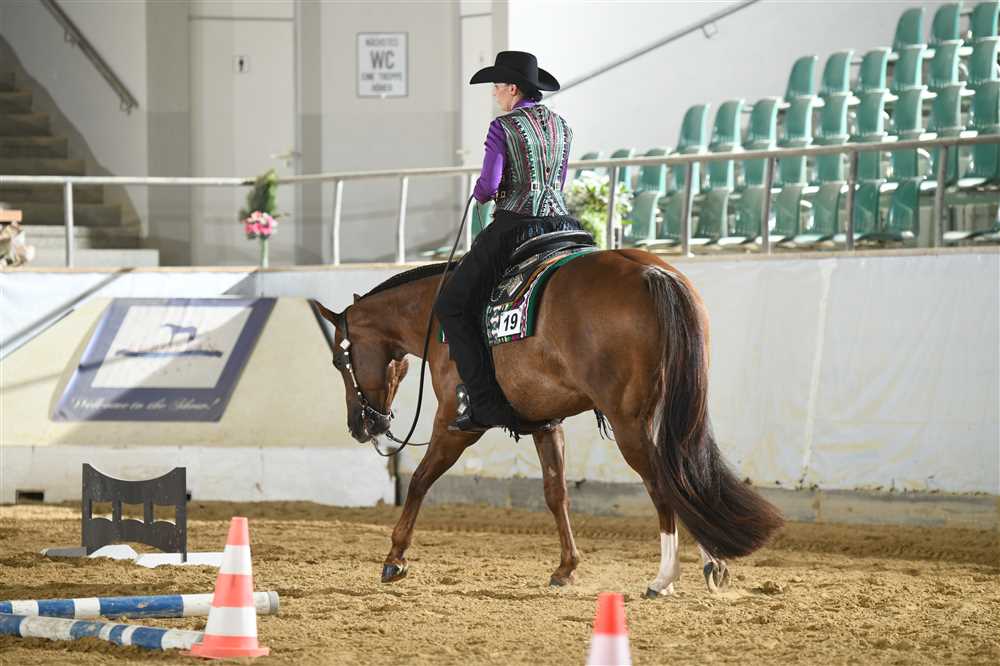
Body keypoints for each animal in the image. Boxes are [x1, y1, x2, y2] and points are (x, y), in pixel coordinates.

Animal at [314, 248, 783, 596]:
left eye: (338, 360)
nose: (361, 425)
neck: (435, 319)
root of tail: (651, 271)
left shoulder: (455, 424)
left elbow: (420, 481)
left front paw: (394, 558)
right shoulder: (545, 422)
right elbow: (556, 493)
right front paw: (566, 568)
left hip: (629, 422)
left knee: (662, 482)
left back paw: (663, 578)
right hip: (673, 414)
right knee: (685, 471)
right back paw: (712, 563)